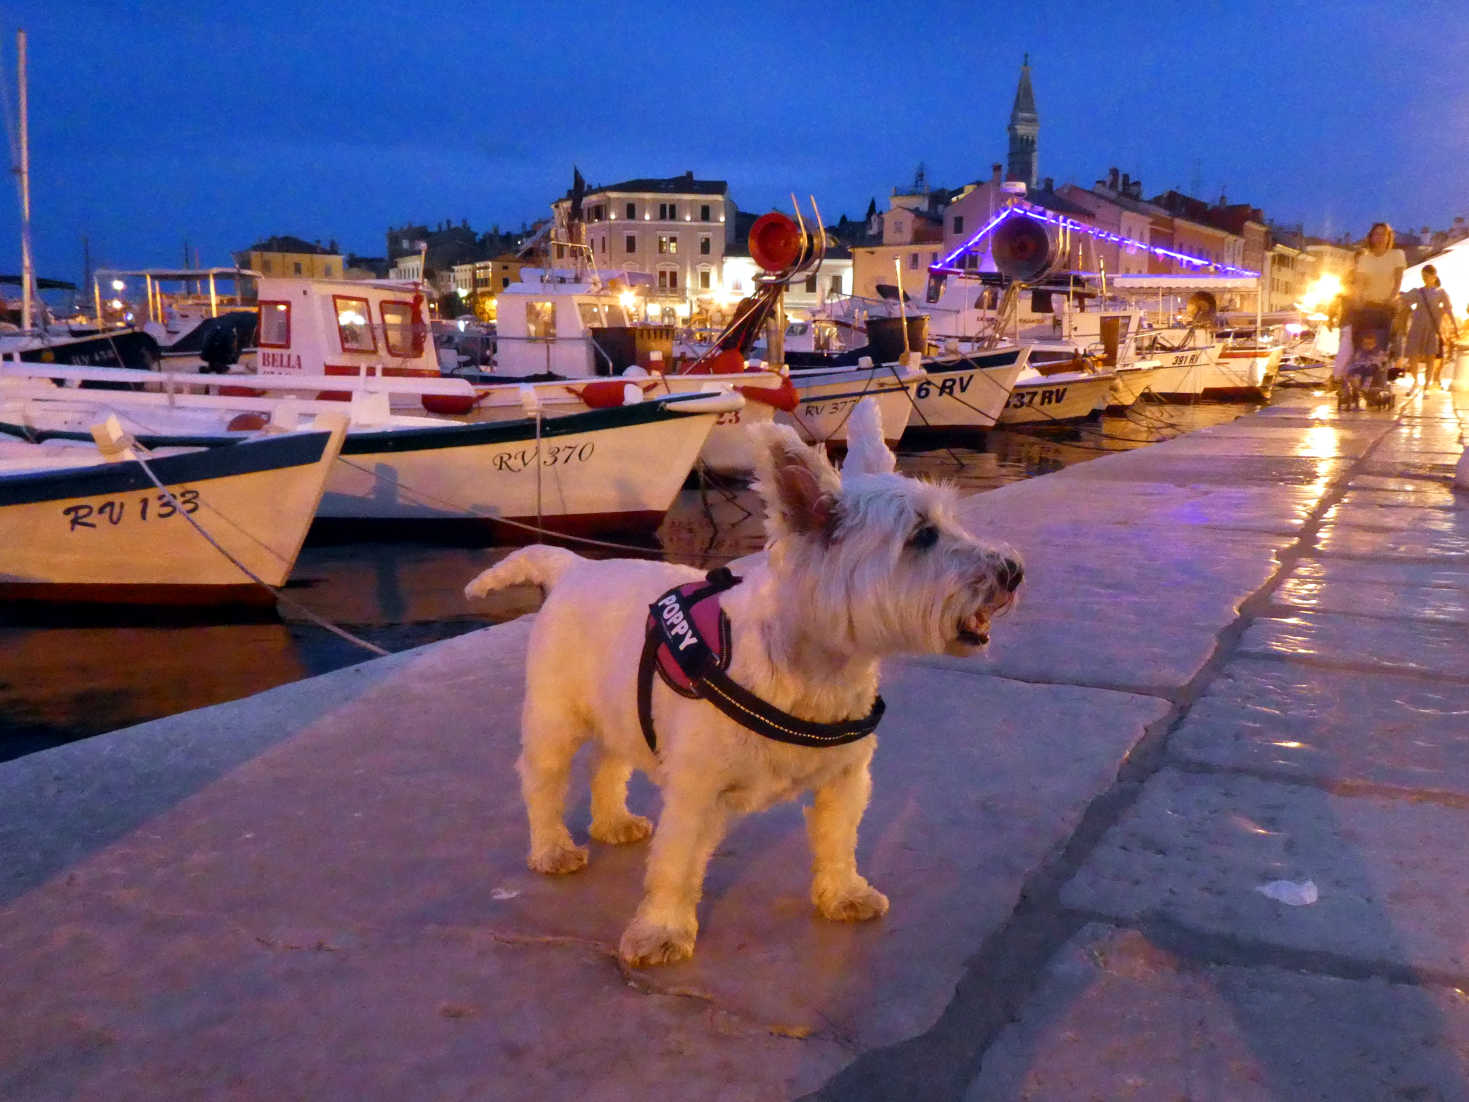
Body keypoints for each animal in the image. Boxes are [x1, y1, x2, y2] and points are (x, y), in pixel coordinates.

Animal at [467, 399, 1022, 963]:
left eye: (950, 521)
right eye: (921, 535)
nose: (1013, 570)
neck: (815, 670)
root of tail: (574, 566)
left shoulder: (846, 780)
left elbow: (838, 841)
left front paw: (844, 895)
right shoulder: (695, 792)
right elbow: (675, 866)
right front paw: (661, 931)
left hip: (620, 705)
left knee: (608, 764)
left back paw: (614, 823)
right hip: (555, 718)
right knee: (544, 782)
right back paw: (553, 848)